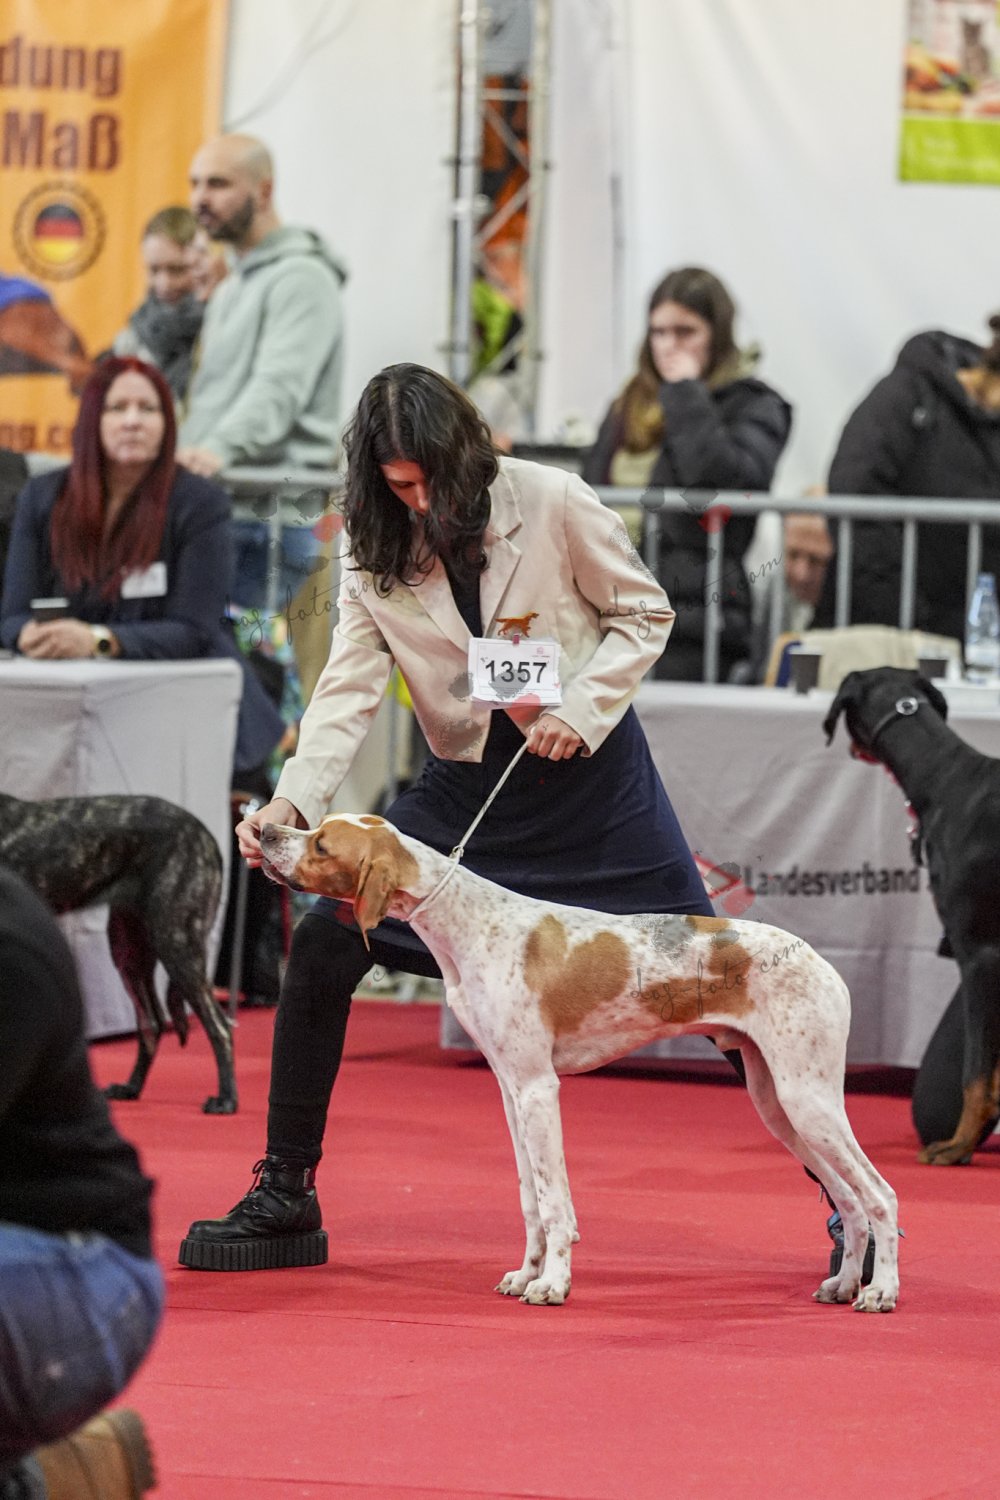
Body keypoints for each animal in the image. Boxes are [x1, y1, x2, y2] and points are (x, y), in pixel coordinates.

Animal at [0, 792, 235, 1114]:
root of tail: (203, 834)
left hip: (176, 941)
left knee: (220, 1027)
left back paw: (226, 1100)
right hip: (129, 950)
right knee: (152, 1023)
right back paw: (131, 1087)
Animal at [259, 813, 900, 1312]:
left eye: (321, 843)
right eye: (312, 829)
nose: (265, 830)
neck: (469, 924)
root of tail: (819, 959)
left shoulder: (539, 1090)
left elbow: (554, 1204)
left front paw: (553, 1283)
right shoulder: (511, 1092)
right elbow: (529, 1199)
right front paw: (526, 1273)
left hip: (808, 1101)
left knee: (880, 1196)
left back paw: (881, 1291)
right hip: (779, 1107)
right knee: (851, 1203)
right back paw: (844, 1284)